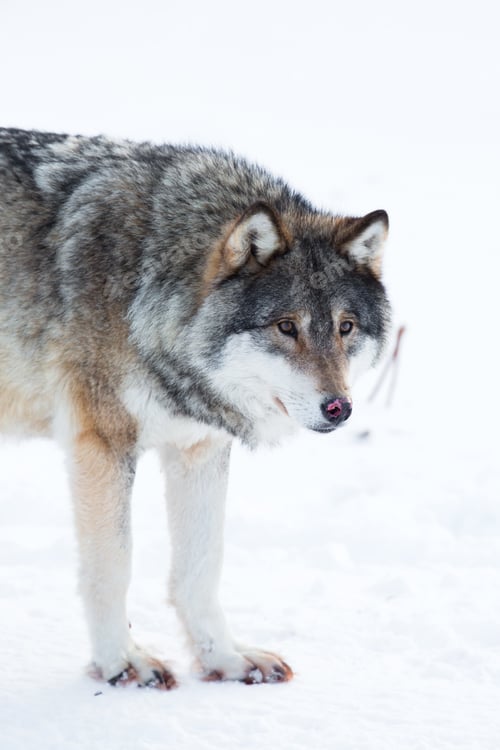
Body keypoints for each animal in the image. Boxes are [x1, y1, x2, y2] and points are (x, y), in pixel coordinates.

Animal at [0, 127, 391, 688]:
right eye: (286, 327)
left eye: (345, 327)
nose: (339, 408)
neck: (145, 286)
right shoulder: (102, 445)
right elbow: (112, 566)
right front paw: (121, 663)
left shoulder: (200, 446)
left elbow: (202, 566)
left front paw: (223, 658)